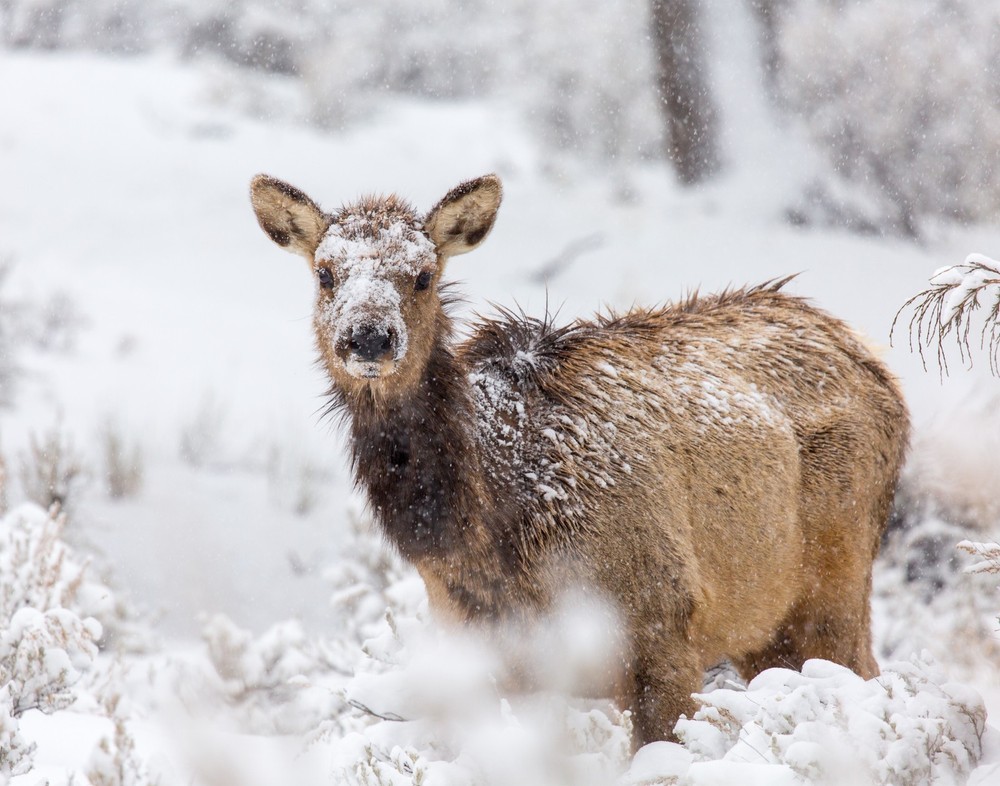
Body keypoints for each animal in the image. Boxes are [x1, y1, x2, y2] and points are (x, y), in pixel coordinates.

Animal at [249, 172, 910, 746]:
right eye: (325, 273)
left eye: (423, 274)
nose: (369, 337)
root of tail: (874, 362)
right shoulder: (492, 659)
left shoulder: (664, 625)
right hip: (763, 625)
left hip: (836, 578)